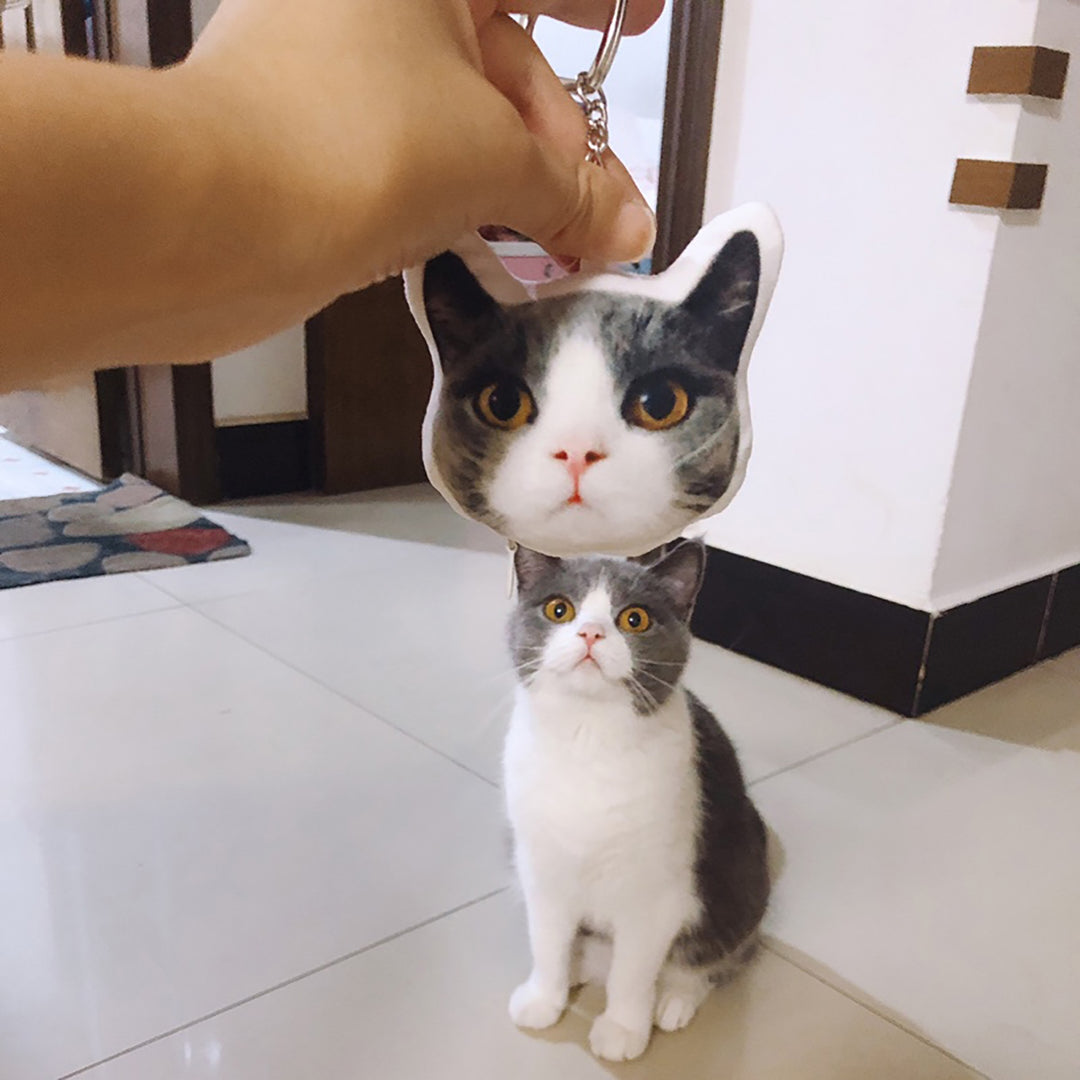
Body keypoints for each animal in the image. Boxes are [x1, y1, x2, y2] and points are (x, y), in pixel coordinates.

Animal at [503, 539, 770, 1063]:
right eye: (559, 609)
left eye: (634, 619)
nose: (590, 632)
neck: (588, 741)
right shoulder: (541, 868)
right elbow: (546, 941)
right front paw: (545, 999)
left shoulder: (655, 895)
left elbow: (632, 972)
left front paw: (623, 1029)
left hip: (740, 881)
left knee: (710, 957)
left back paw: (674, 999)